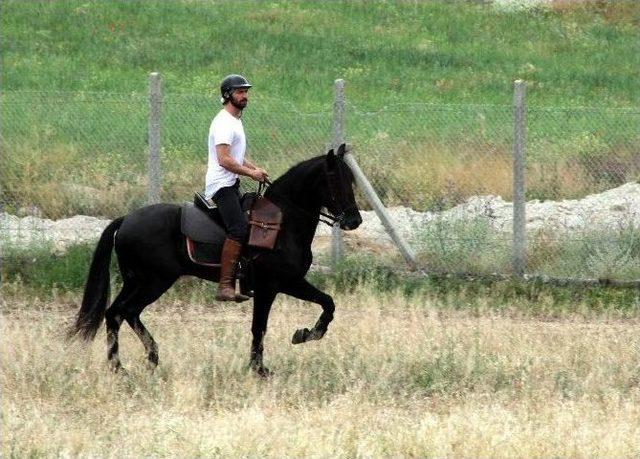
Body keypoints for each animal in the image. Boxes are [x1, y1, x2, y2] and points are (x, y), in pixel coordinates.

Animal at [70, 146, 362, 376]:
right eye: (336, 181)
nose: (354, 220)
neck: (282, 222)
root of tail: (125, 220)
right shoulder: (275, 284)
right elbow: (264, 325)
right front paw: (264, 366)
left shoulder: (283, 284)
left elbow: (327, 304)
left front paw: (302, 337)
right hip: (154, 281)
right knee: (124, 311)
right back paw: (127, 364)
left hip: (136, 281)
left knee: (117, 313)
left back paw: (131, 363)